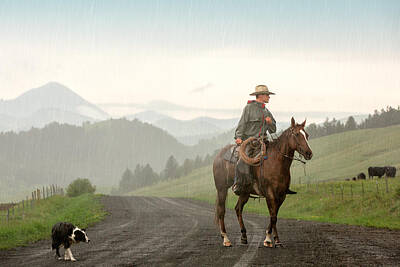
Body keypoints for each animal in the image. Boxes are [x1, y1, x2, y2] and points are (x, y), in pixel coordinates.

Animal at [212, 118, 312, 248]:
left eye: (307, 135)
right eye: (296, 134)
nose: (309, 153)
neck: (276, 162)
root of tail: (218, 156)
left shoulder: (281, 195)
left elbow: (274, 216)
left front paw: (275, 239)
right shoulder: (269, 194)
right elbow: (273, 216)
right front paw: (269, 240)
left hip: (244, 193)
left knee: (238, 209)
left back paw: (243, 236)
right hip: (221, 189)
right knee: (221, 210)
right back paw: (225, 238)